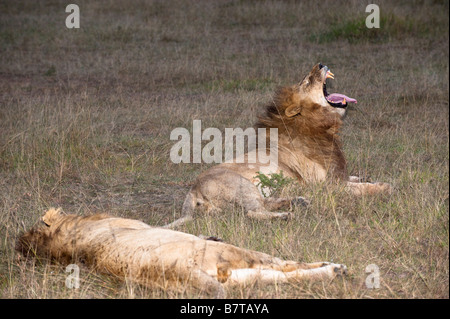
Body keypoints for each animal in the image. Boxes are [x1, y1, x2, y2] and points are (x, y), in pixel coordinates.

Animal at [16, 209, 348, 298]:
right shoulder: (140, 224)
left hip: (239, 277)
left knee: (284, 278)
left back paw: (334, 271)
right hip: (235, 255)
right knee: (287, 265)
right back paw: (335, 267)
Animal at [165, 63, 390, 228]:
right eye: (306, 81)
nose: (320, 64)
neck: (319, 126)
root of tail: (192, 190)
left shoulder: (335, 174)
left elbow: (353, 178)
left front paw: (365, 177)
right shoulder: (325, 186)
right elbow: (360, 188)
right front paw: (383, 186)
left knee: (265, 203)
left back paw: (298, 202)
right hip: (242, 185)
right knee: (253, 212)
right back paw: (286, 215)